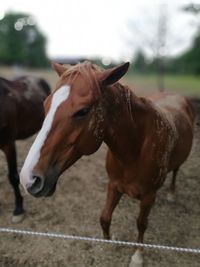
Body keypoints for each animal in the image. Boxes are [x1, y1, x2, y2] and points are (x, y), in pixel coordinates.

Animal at [20, 62, 195, 266]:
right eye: (45, 105)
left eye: (82, 111)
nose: (28, 179)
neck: (136, 148)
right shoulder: (114, 185)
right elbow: (104, 217)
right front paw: (108, 241)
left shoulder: (149, 196)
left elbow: (141, 224)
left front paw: (137, 256)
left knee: (176, 171)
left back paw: (172, 194)